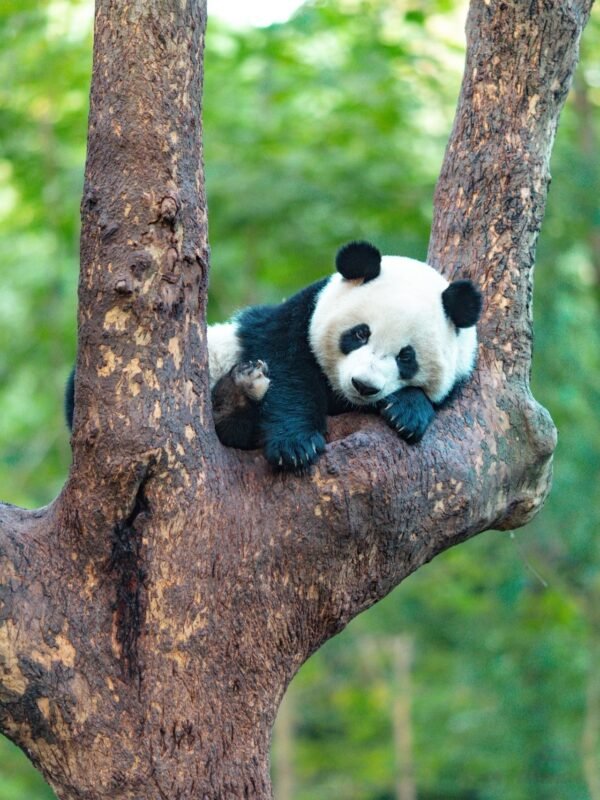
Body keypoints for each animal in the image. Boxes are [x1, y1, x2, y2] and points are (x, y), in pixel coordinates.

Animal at [208, 240, 482, 472]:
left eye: (406, 357)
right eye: (361, 333)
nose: (364, 385)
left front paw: (407, 412)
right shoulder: (288, 326)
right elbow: (287, 374)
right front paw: (296, 446)